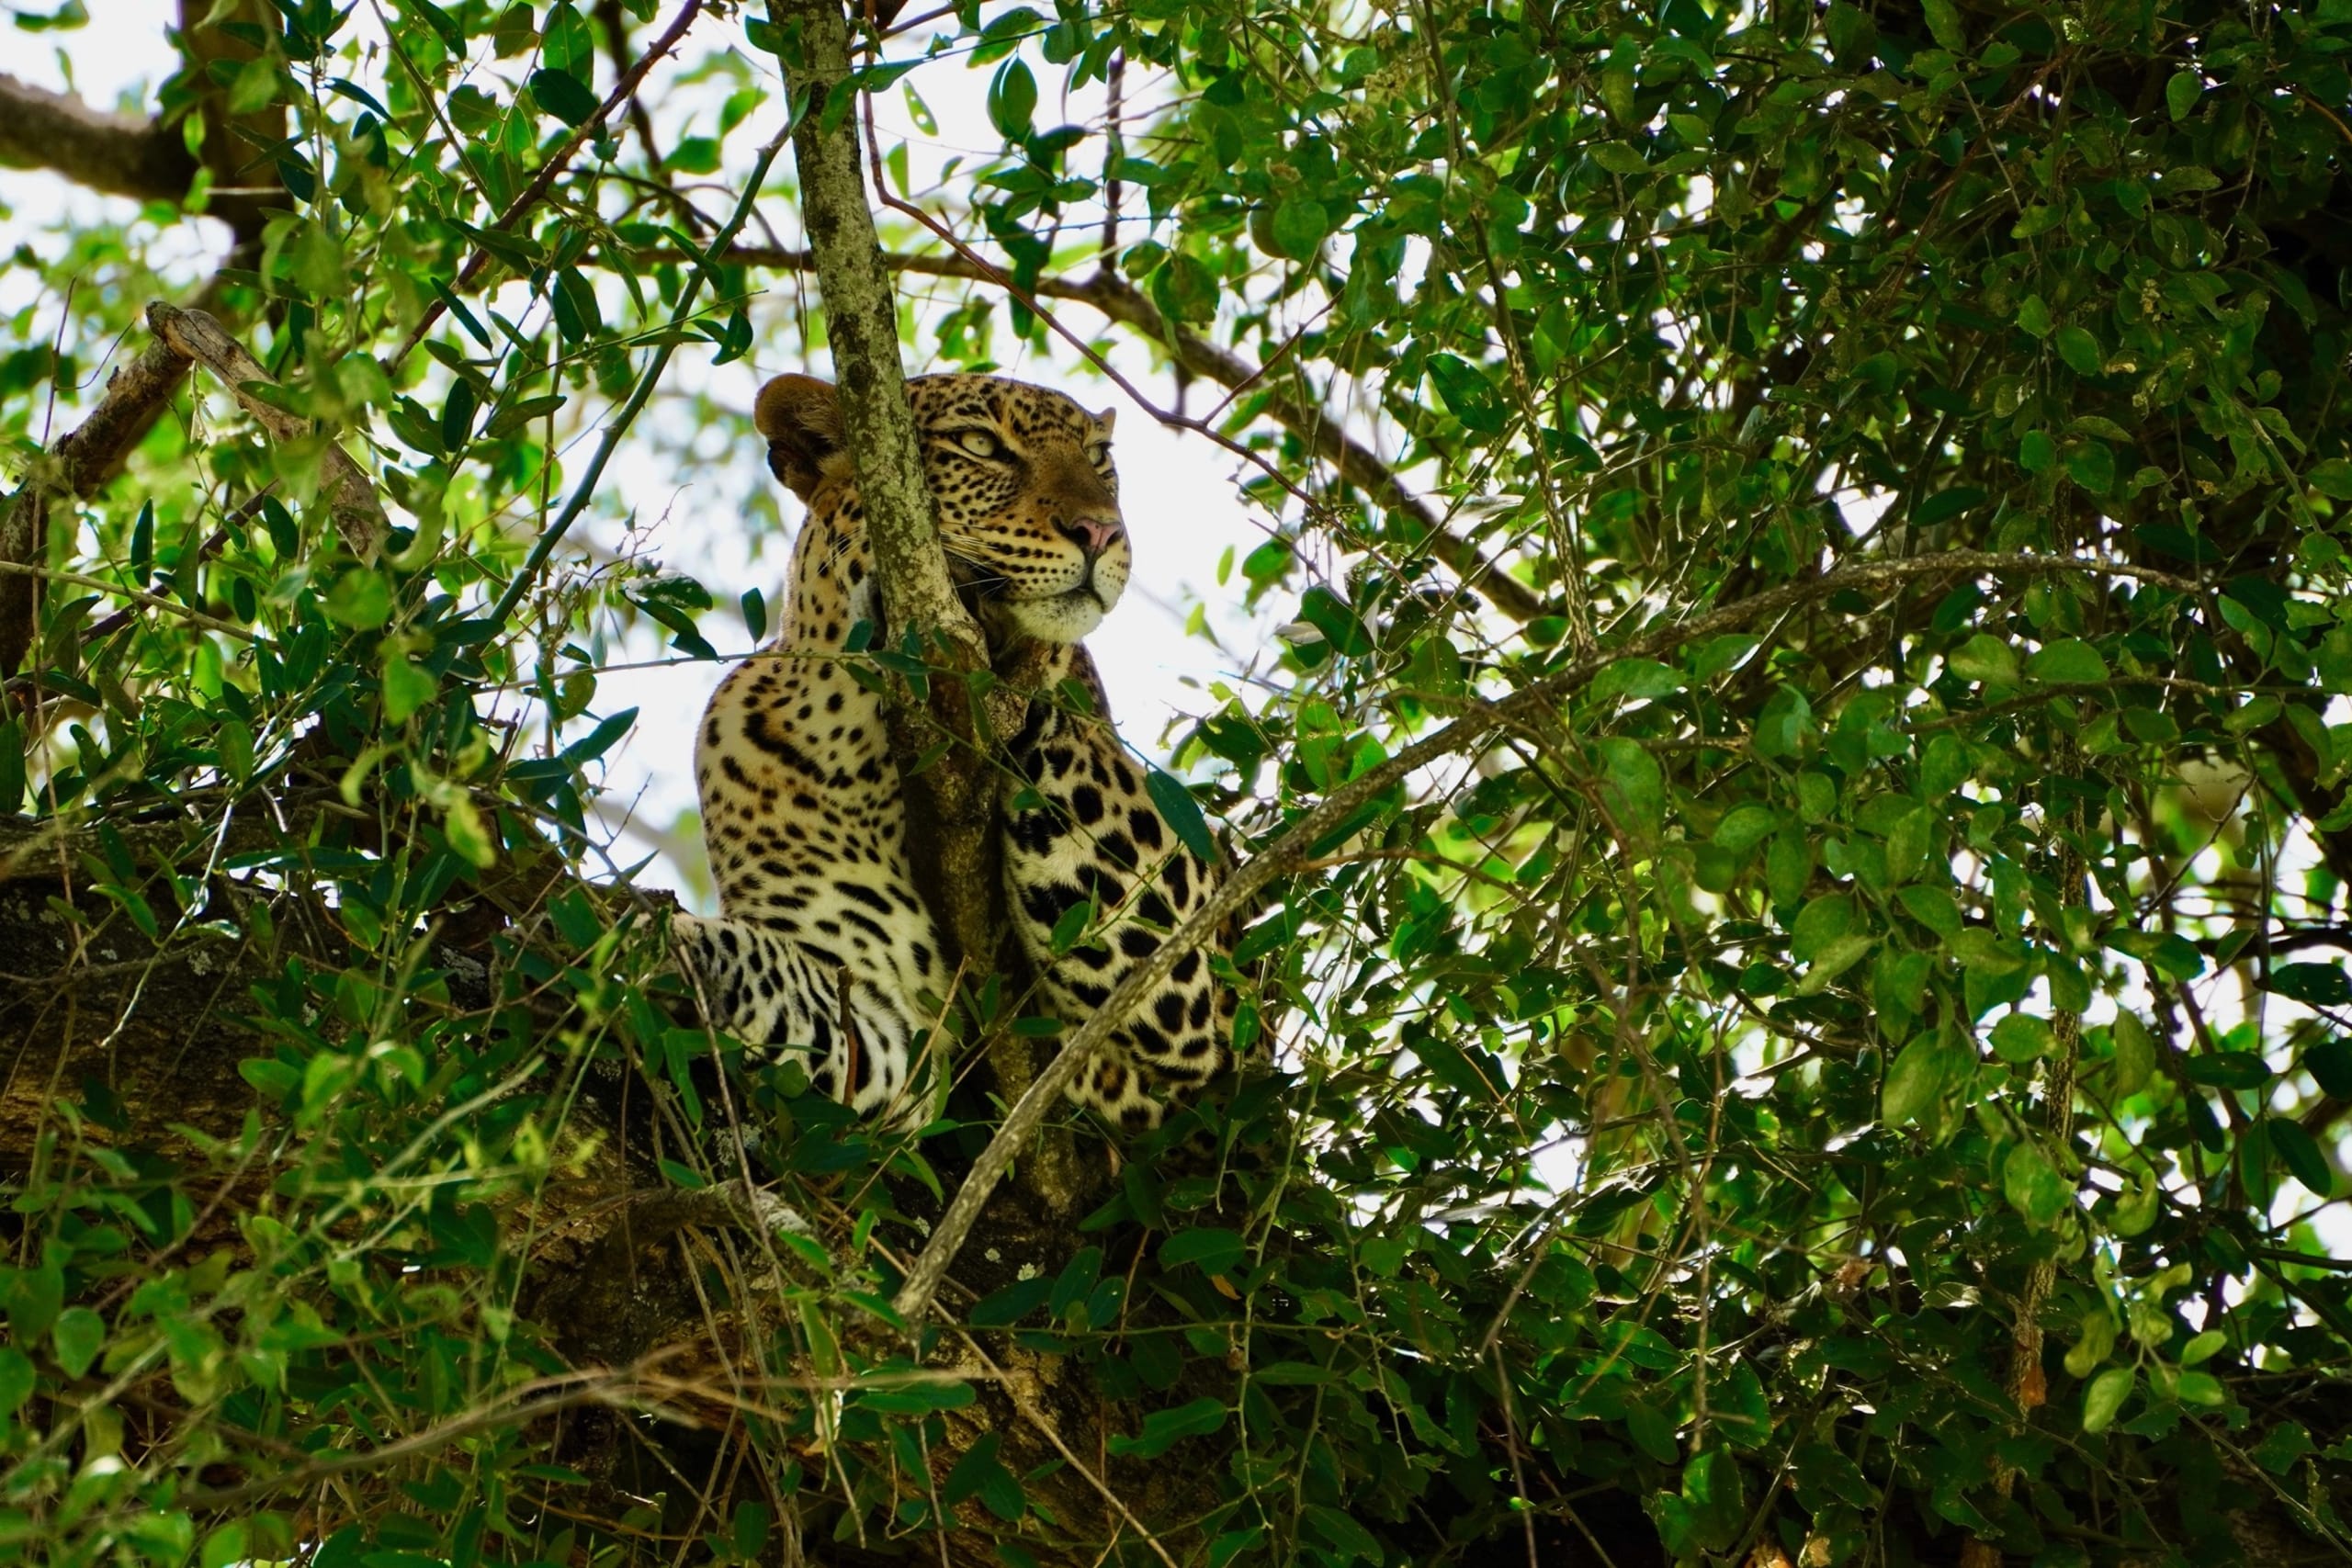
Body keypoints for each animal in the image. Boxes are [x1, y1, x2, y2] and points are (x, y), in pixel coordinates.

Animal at [670, 371, 1239, 1132]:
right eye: (979, 445)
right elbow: (813, 1003)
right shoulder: (887, 1025)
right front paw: (674, 938)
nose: (1102, 532)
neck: (869, 740)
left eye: (1099, 458)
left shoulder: (1192, 999)